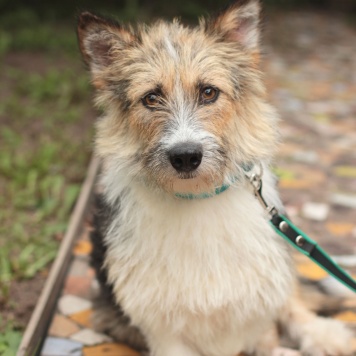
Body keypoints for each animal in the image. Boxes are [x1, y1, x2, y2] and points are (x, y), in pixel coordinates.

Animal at [76, 1, 352, 354]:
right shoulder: (164, 332)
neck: (197, 197)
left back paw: (327, 336)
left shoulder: (257, 311)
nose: (185, 157)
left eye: (208, 92)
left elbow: (274, 327)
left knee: (294, 301)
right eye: (151, 98)